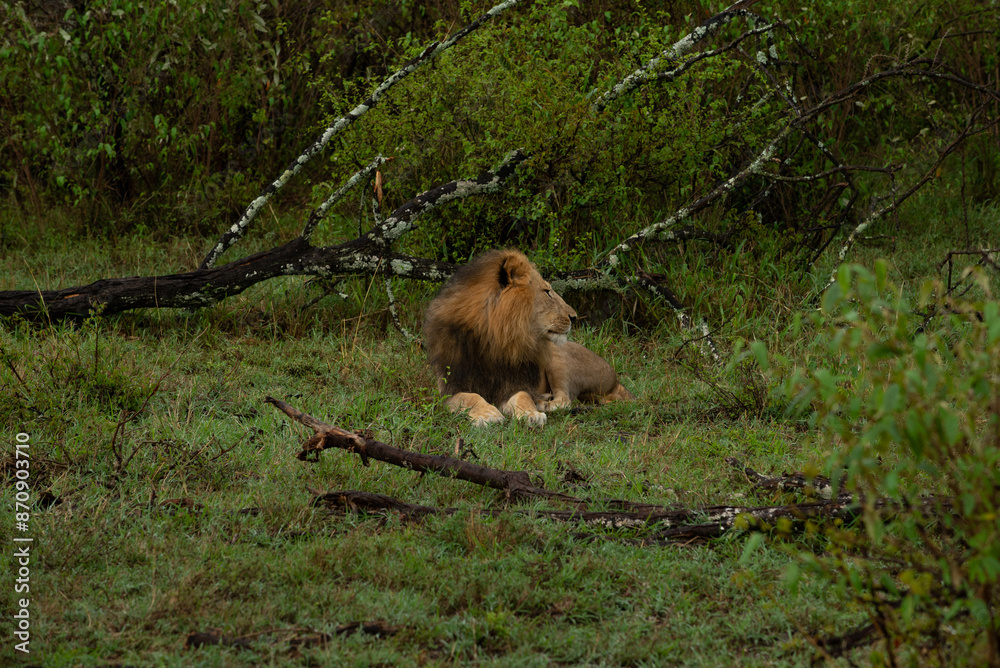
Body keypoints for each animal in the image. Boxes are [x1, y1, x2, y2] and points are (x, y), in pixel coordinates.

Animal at [423, 249, 633, 426]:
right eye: (547, 292)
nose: (574, 317)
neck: (494, 339)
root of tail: (615, 380)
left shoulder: (515, 383)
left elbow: (523, 396)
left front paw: (531, 413)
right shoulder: (449, 390)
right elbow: (470, 397)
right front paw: (488, 414)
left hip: (557, 357)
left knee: (565, 399)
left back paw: (542, 403)